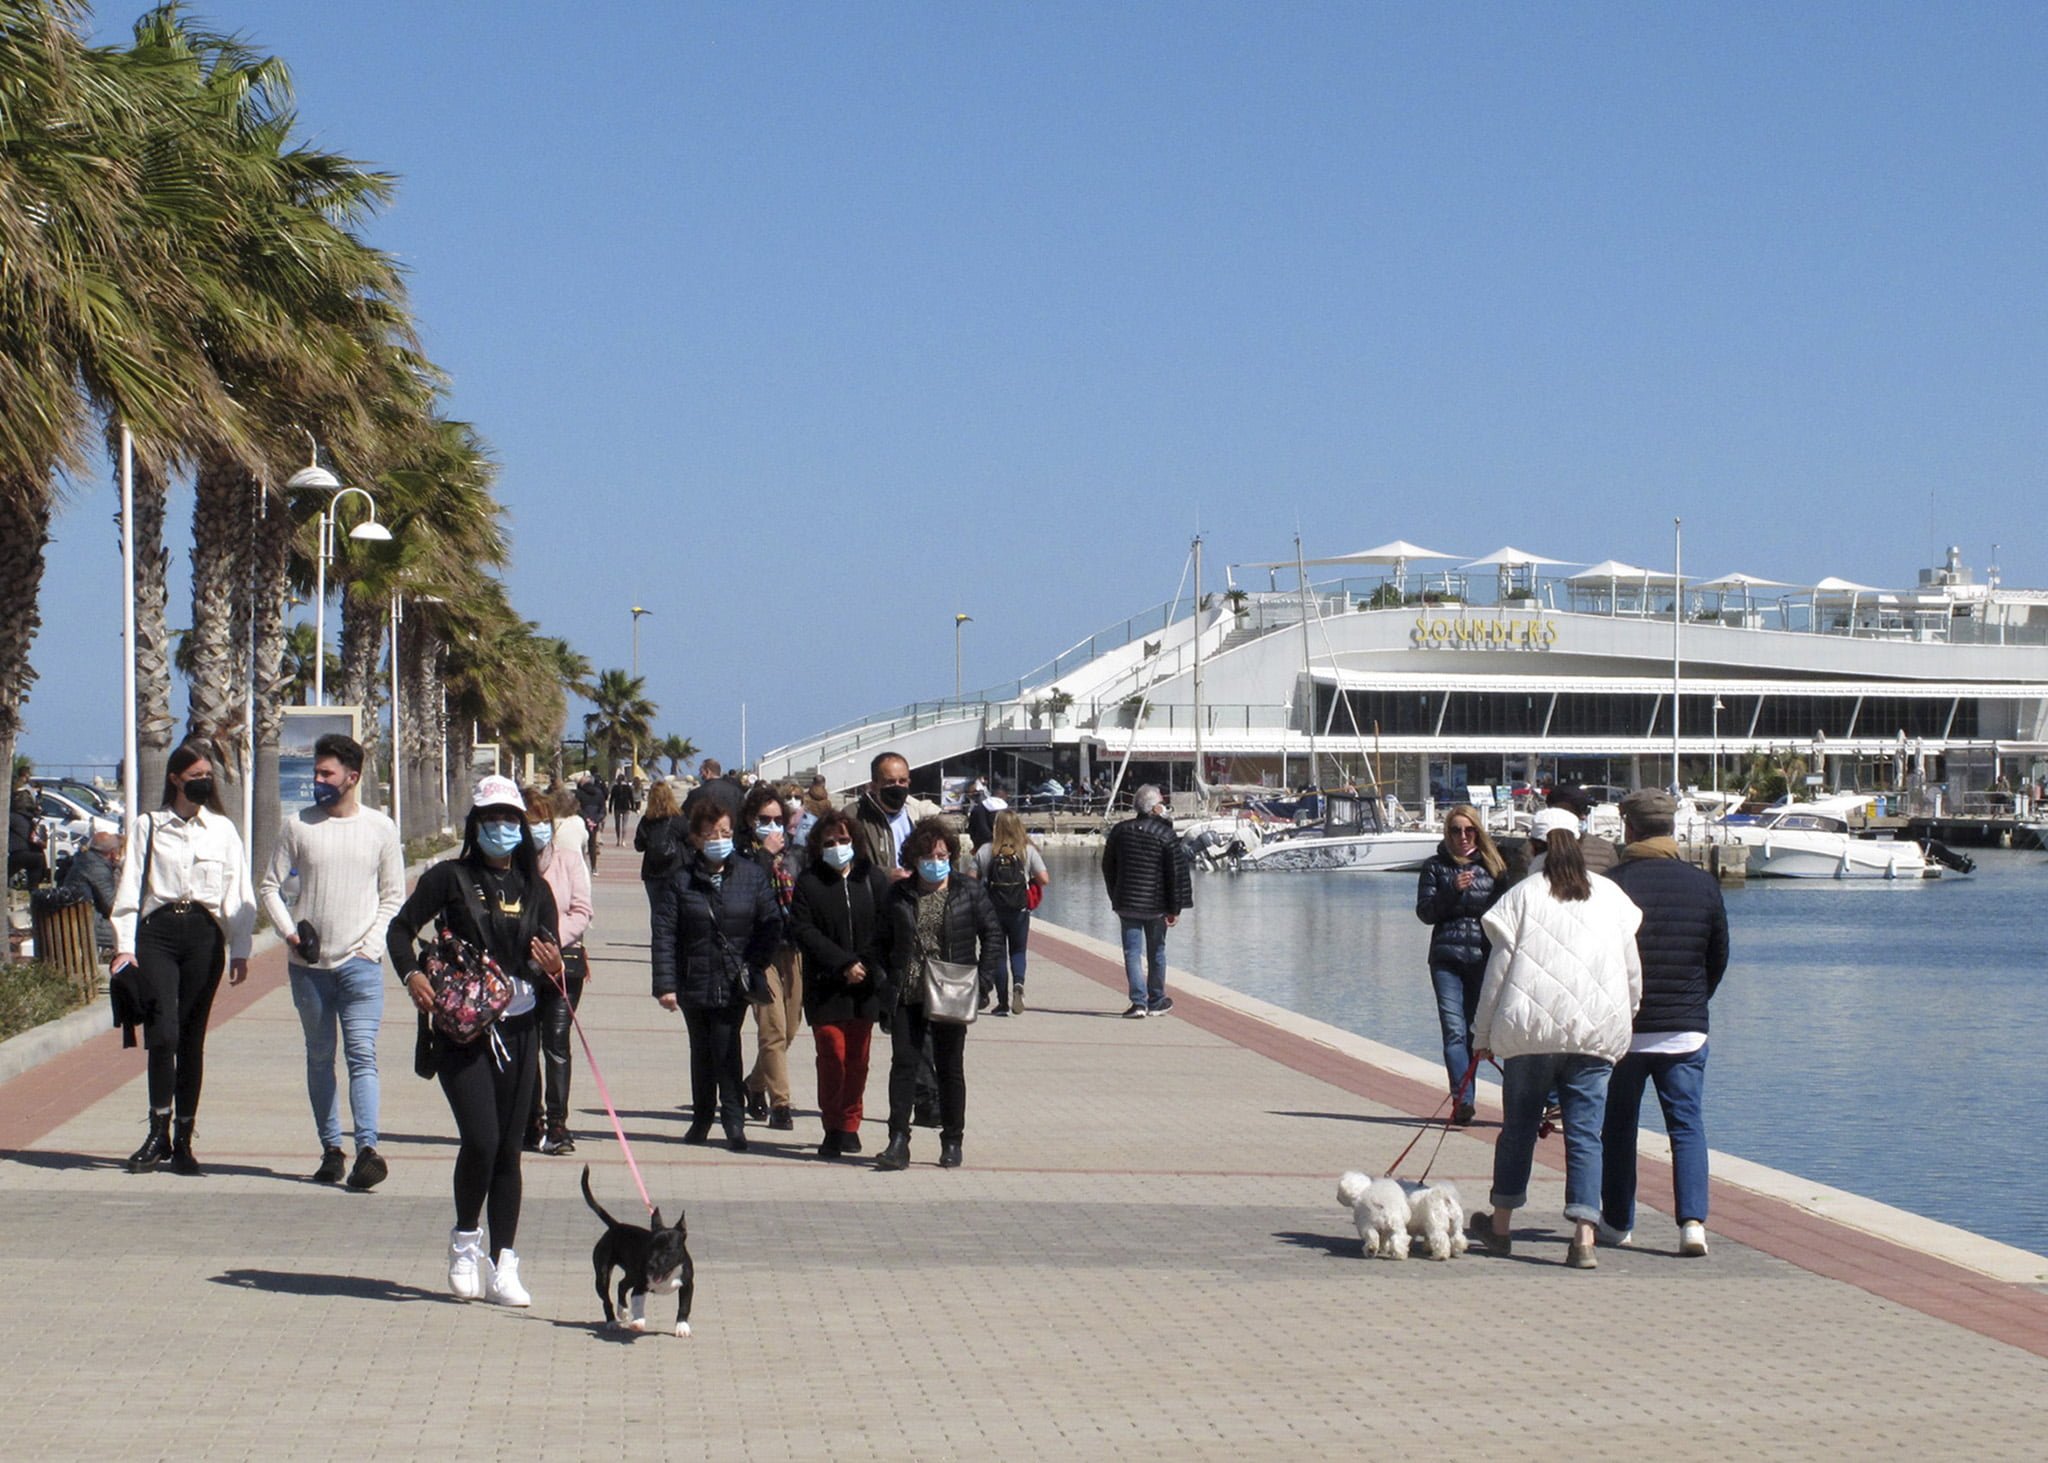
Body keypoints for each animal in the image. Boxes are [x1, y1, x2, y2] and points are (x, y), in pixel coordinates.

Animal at [585, 1163, 696, 1335]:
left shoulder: (687, 1285)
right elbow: (638, 1305)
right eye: (650, 1247)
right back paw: (612, 1321)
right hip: (603, 1275)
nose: (651, 1265)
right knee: (606, 1299)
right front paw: (638, 1322)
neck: (667, 1275)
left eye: (669, 1249)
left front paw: (682, 1327)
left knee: (622, 1285)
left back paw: (623, 1310)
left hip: (632, 1273)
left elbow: (684, 1306)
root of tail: (616, 1226)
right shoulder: (640, 1286)